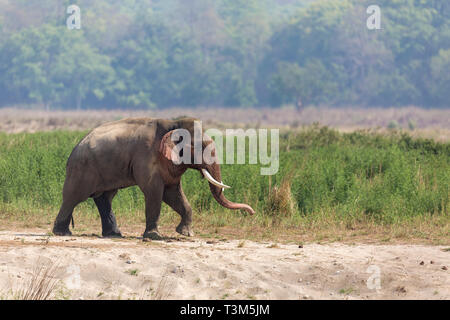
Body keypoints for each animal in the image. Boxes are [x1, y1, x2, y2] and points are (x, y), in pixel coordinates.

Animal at [52, 117, 255, 240]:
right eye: (200, 147)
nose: (251, 212)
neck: (173, 124)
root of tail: (75, 148)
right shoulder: (146, 156)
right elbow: (154, 191)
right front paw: (154, 236)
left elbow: (173, 193)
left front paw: (186, 234)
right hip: (82, 169)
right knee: (73, 197)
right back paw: (62, 233)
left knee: (105, 198)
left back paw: (114, 235)